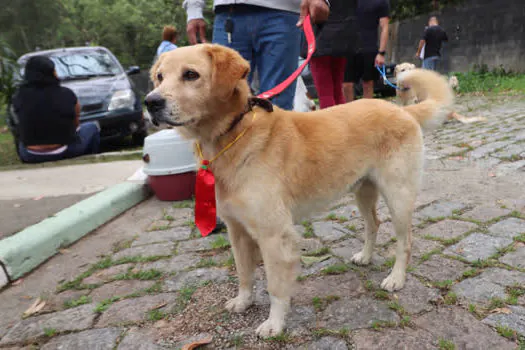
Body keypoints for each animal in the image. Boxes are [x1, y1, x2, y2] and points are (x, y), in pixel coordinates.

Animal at [144, 45, 454, 338]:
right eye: (159, 77)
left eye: (190, 74)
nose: (151, 102)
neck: (231, 136)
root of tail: (402, 110)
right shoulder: (237, 230)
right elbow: (244, 273)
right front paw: (243, 302)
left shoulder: (273, 236)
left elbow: (275, 286)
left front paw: (274, 324)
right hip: (363, 192)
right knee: (373, 224)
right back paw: (366, 257)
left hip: (398, 196)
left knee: (406, 241)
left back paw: (397, 278)